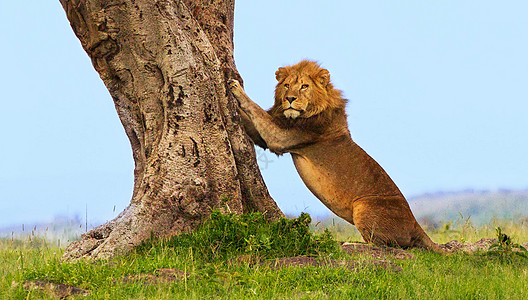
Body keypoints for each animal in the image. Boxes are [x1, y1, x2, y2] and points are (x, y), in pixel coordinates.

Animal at [229, 59, 440, 251]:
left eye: (304, 86)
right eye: (287, 85)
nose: (289, 99)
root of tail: (416, 225)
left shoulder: (282, 137)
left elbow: (256, 110)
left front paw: (235, 88)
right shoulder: (267, 138)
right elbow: (250, 121)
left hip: (363, 205)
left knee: (385, 246)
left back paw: (350, 244)